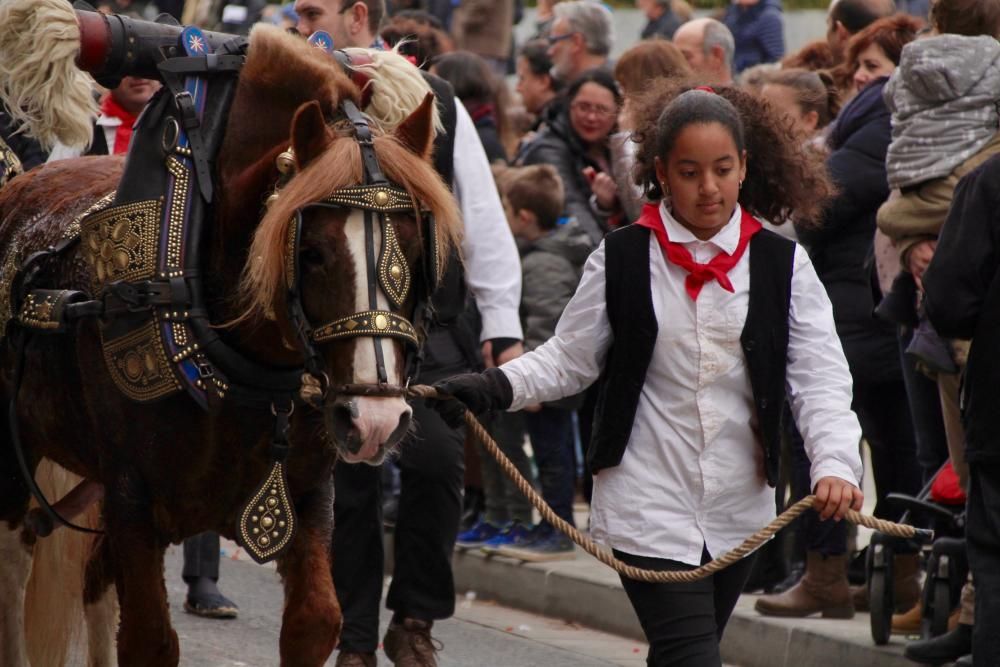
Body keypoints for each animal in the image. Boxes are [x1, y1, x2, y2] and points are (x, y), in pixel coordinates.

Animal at [0, 20, 460, 667]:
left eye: (418, 253)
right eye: (310, 252)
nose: (374, 421)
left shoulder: (308, 497)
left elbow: (315, 621)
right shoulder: (132, 498)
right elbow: (149, 639)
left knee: (89, 585)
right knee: (15, 569)